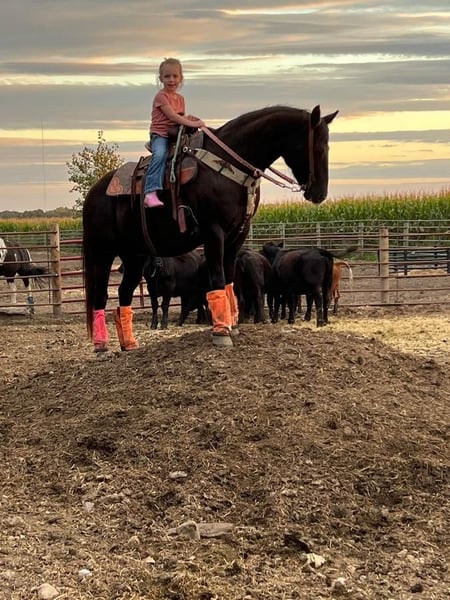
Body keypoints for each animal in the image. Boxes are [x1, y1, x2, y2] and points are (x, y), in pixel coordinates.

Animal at [82, 104, 338, 351]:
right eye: (317, 149)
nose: (319, 194)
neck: (228, 165)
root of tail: (94, 192)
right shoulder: (213, 233)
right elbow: (216, 278)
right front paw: (221, 333)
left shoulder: (237, 235)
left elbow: (229, 281)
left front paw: (232, 326)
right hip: (102, 253)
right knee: (101, 295)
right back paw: (101, 344)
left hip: (134, 256)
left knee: (124, 293)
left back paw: (129, 344)